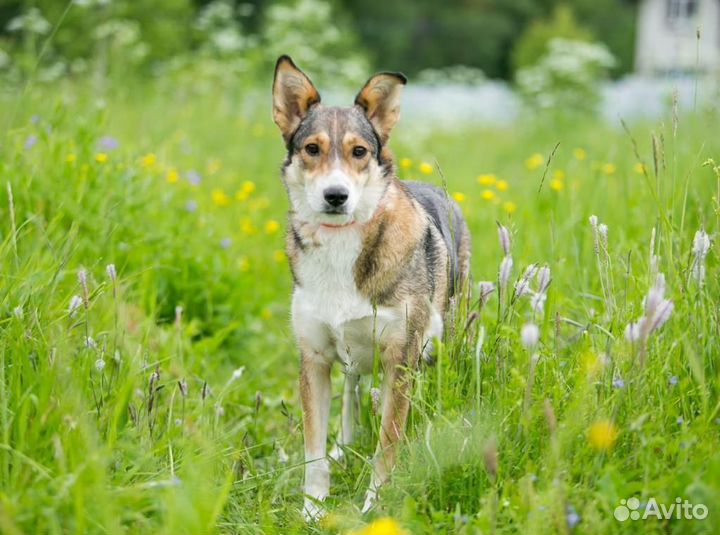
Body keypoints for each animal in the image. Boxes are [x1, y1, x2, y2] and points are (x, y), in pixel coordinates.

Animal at [272, 54, 472, 520]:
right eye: (312, 149)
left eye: (359, 152)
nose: (335, 195)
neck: (341, 241)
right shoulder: (314, 360)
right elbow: (313, 449)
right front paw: (313, 507)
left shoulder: (400, 360)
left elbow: (388, 444)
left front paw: (374, 506)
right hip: (352, 359)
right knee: (351, 395)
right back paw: (345, 448)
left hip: (443, 340)